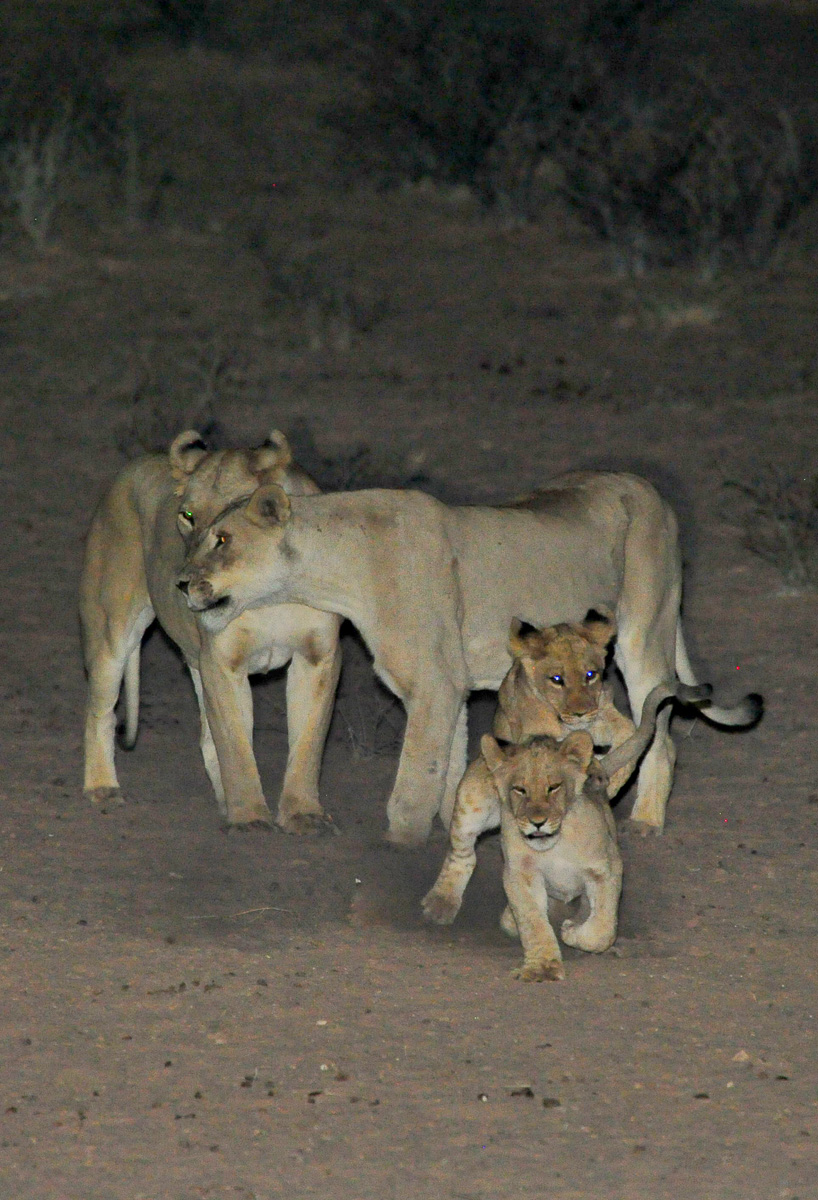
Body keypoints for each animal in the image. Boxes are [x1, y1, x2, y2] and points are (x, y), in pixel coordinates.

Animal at [80, 429, 341, 831]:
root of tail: (135, 464)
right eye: (187, 516)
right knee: (99, 711)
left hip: (193, 660)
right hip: (112, 630)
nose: (184, 583)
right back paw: (101, 787)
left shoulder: (318, 655)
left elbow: (308, 742)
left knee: (206, 735)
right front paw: (249, 818)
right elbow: (236, 745)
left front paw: (303, 815)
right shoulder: (221, 660)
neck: (269, 593)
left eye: (226, 531)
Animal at [176, 471, 762, 845]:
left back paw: (643, 821)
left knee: (659, 732)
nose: (180, 582)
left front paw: (400, 844)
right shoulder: (450, 686)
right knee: (622, 728)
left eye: (222, 539)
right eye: (196, 533)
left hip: (643, 634)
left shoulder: (434, 684)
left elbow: (415, 780)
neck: (333, 565)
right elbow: (451, 771)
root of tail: (651, 492)